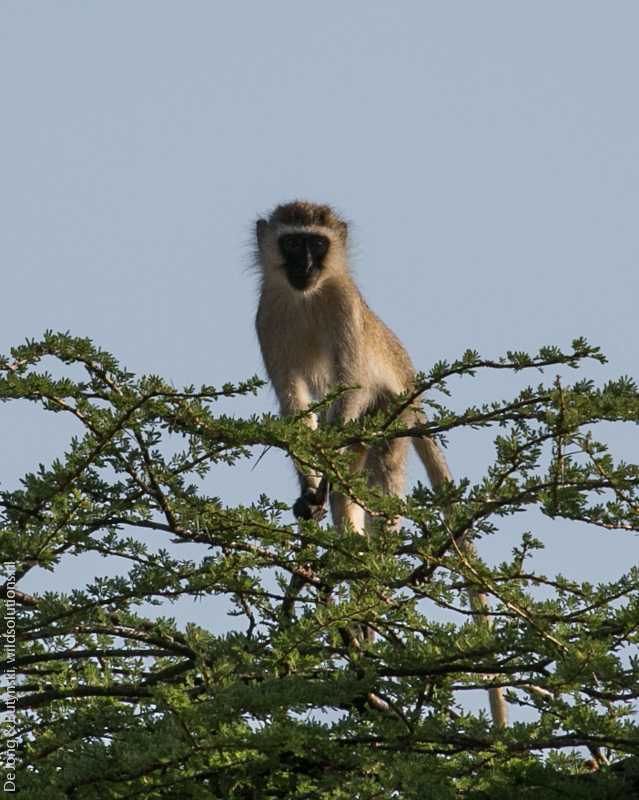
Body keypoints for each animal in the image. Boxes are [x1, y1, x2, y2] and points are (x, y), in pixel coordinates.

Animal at [254, 201, 507, 726]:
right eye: (292, 243)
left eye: (317, 244)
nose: (304, 265)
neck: (305, 299)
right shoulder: (266, 318)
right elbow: (294, 408)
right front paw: (307, 492)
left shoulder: (345, 310)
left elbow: (347, 385)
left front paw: (324, 476)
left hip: (391, 418)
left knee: (374, 481)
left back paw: (366, 588)